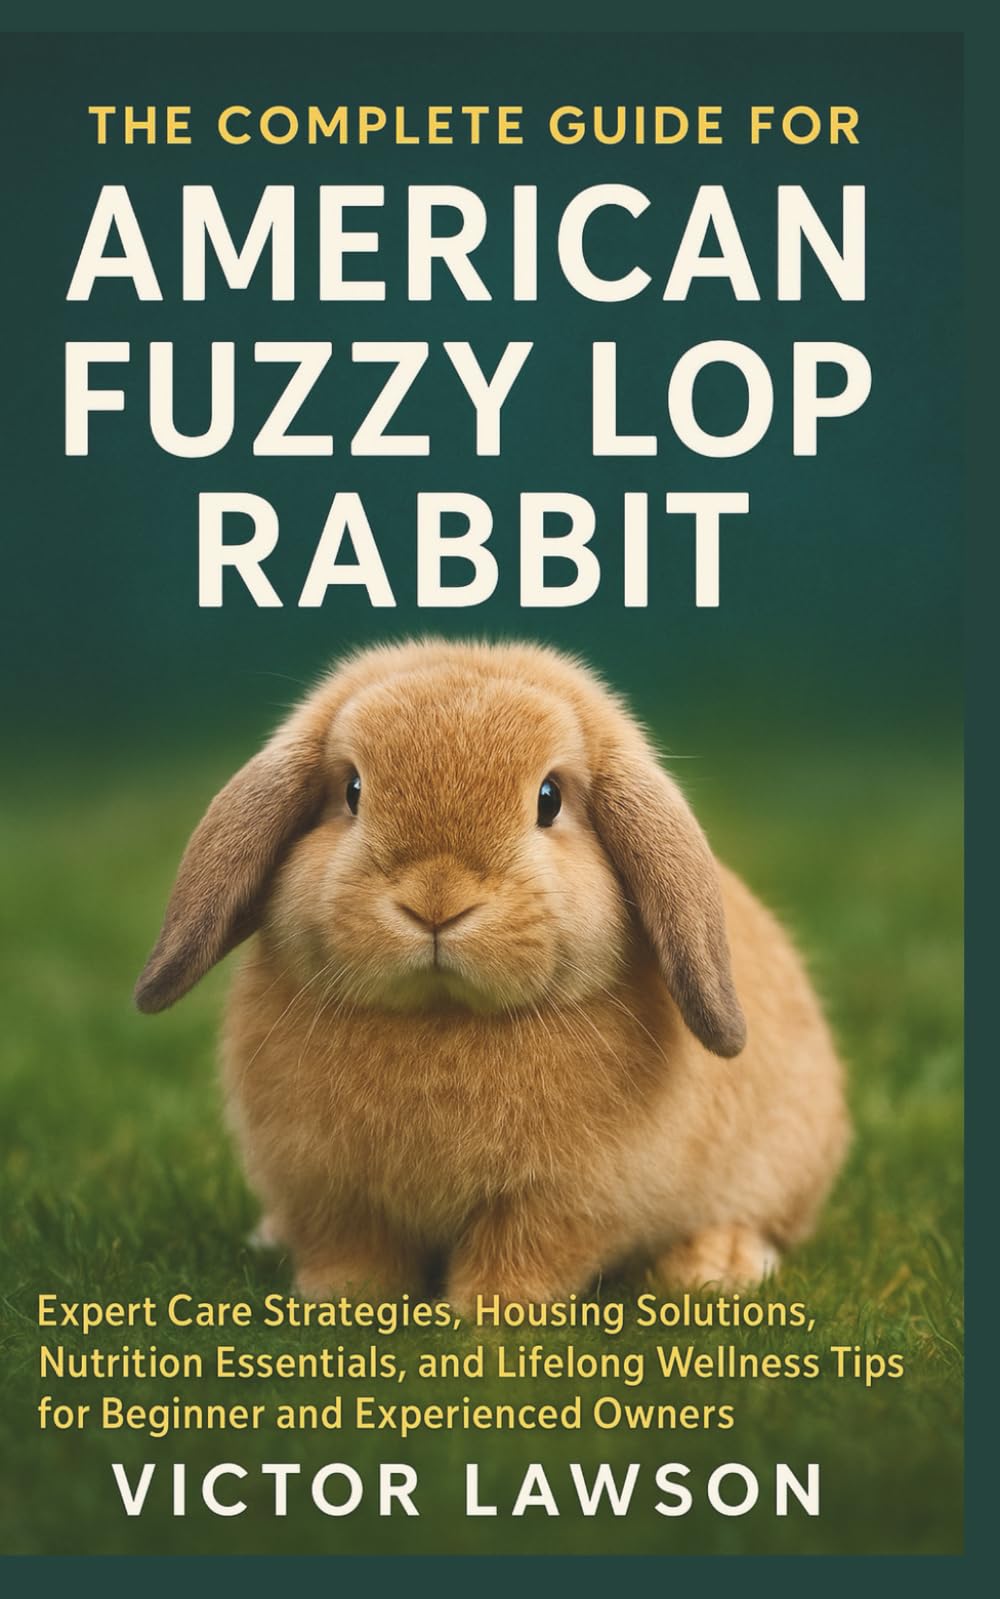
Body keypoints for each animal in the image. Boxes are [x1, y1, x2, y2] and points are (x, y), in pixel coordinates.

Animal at [136, 639, 849, 1307]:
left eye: (549, 799)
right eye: (352, 792)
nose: (437, 900)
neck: (441, 1014)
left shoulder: (559, 1197)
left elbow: (518, 1255)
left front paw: (487, 1313)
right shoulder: (330, 1189)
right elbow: (354, 1253)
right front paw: (343, 1300)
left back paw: (715, 1266)